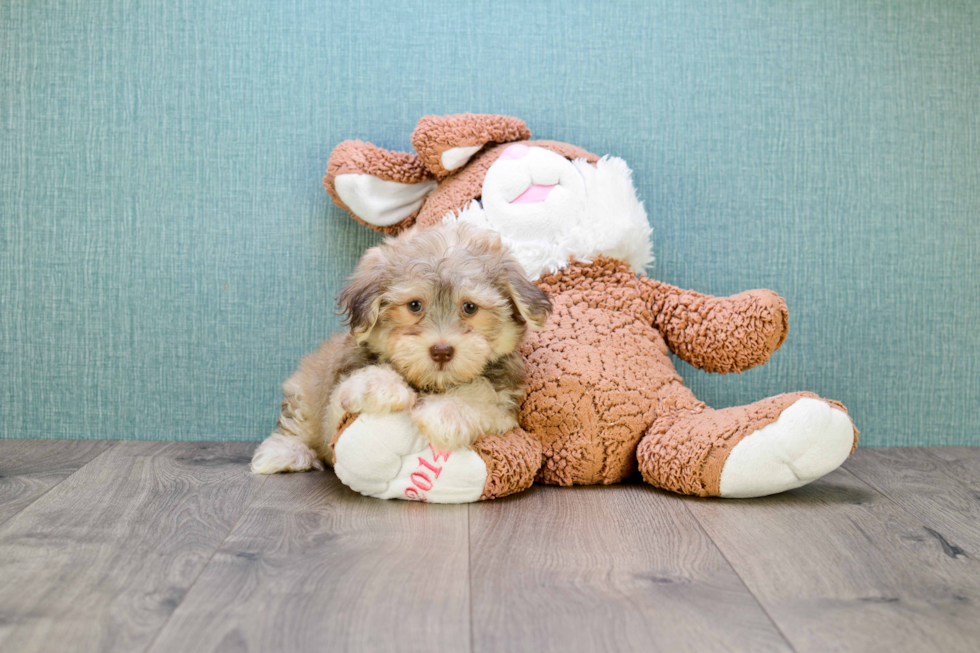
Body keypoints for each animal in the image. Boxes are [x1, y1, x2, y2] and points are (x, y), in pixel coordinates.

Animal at [251, 220, 552, 474]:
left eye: (470, 308)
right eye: (414, 305)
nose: (442, 351)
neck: (430, 384)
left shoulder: (506, 409)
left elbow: (484, 396)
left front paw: (446, 413)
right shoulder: (334, 409)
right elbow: (347, 395)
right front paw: (379, 386)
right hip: (304, 391)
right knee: (296, 424)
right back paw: (284, 453)